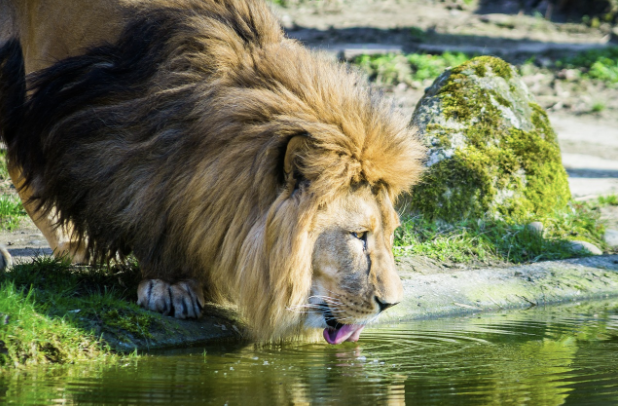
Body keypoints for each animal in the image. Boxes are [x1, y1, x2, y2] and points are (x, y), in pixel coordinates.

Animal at [0, 0, 424, 342]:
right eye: (358, 236)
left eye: (390, 233)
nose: (391, 304)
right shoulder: (104, 134)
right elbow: (142, 206)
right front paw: (169, 284)